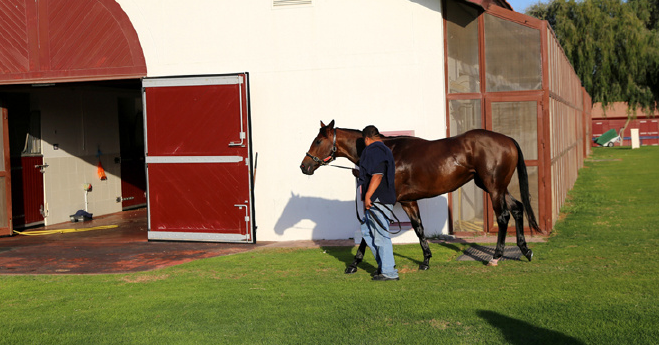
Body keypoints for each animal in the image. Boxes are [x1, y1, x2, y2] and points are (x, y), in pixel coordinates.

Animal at [300, 119, 540, 270]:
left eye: (318, 141)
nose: (304, 166)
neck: (387, 154)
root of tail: (508, 140)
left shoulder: (382, 202)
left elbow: (371, 231)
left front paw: (354, 264)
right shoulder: (408, 201)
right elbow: (419, 228)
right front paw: (426, 260)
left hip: (494, 188)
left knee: (503, 217)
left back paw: (496, 257)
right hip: (497, 187)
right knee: (517, 208)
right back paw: (525, 250)